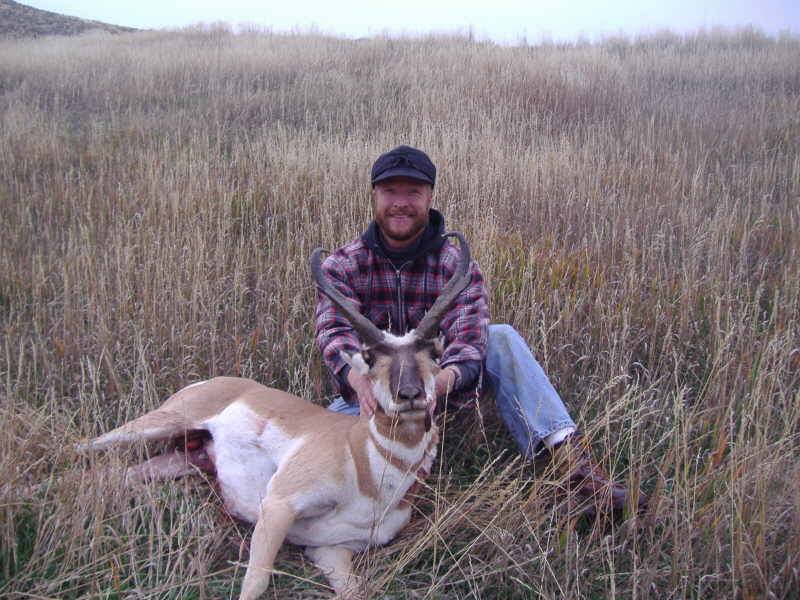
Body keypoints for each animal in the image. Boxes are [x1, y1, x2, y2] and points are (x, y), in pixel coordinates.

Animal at [78, 232, 472, 596]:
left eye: (434, 353)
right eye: (371, 357)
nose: (410, 395)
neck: (363, 462)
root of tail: (218, 381)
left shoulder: (332, 550)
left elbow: (355, 591)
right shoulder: (278, 505)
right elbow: (256, 583)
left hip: (181, 460)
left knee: (111, 475)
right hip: (155, 425)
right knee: (82, 449)